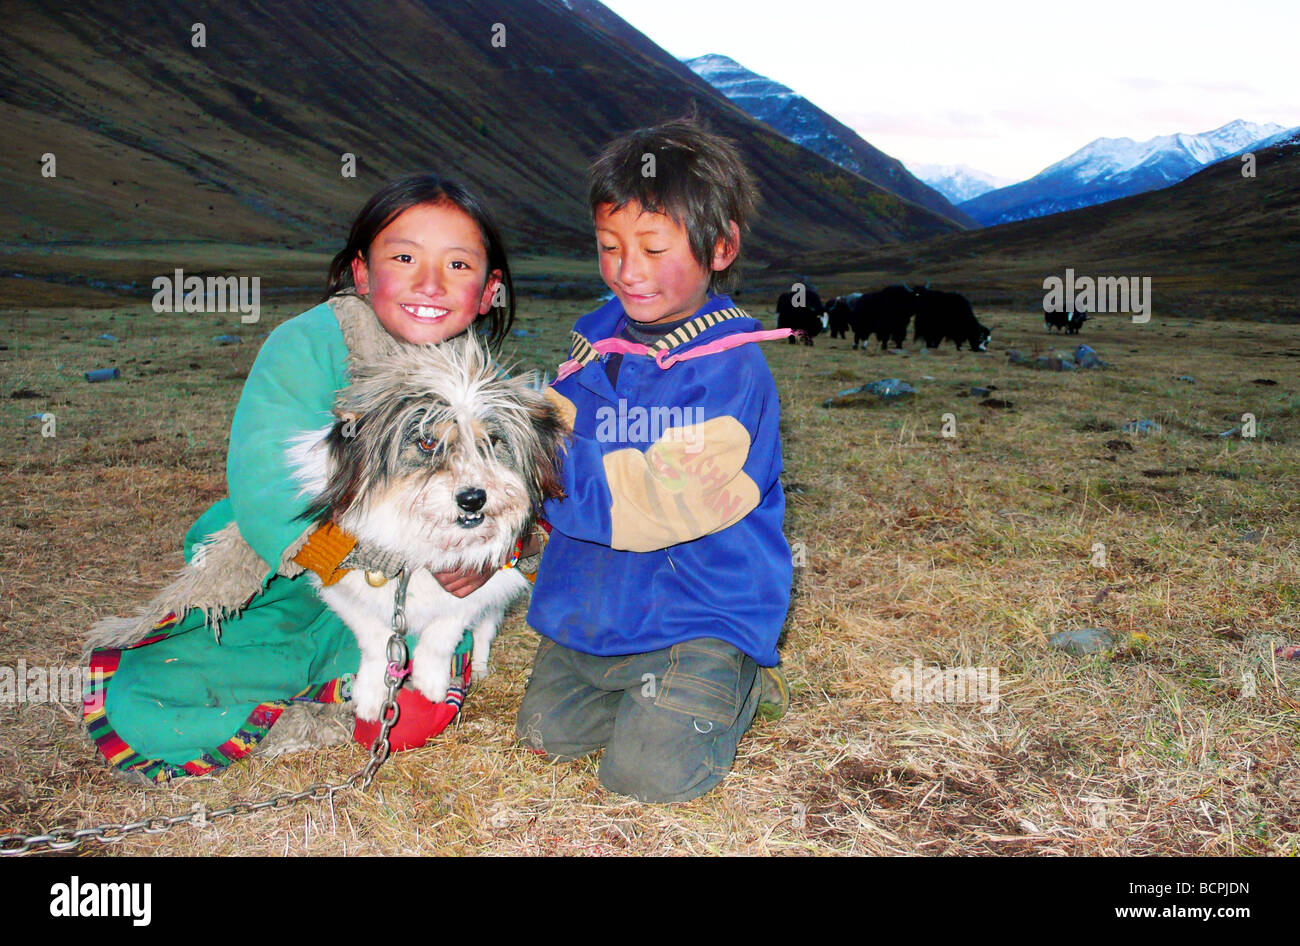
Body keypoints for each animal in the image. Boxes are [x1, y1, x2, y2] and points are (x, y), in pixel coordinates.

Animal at [86, 337, 564, 722]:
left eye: (492, 442)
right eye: (427, 441)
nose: (473, 498)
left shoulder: (481, 585)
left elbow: (442, 634)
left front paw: (431, 683)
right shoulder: (342, 583)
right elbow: (375, 638)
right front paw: (371, 695)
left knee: (484, 631)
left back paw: (478, 667)